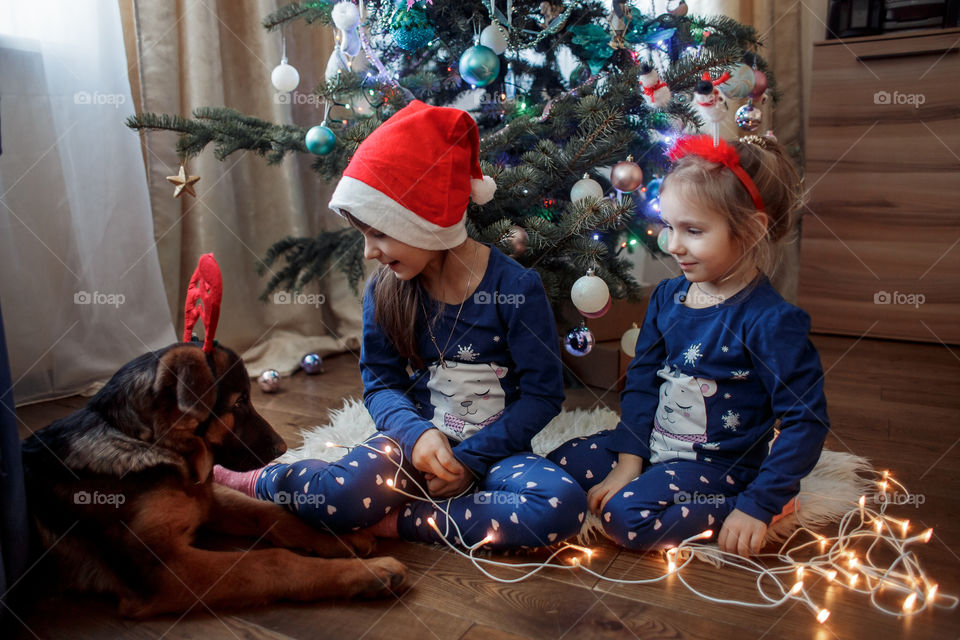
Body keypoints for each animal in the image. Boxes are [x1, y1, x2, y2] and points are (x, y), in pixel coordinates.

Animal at [21, 342, 404, 616]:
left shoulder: (206, 501)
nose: (282, 448)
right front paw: (368, 573)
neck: (146, 443)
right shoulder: (161, 570)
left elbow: (269, 512)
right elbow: (270, 560)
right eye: (238, 403)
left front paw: (336, 536)